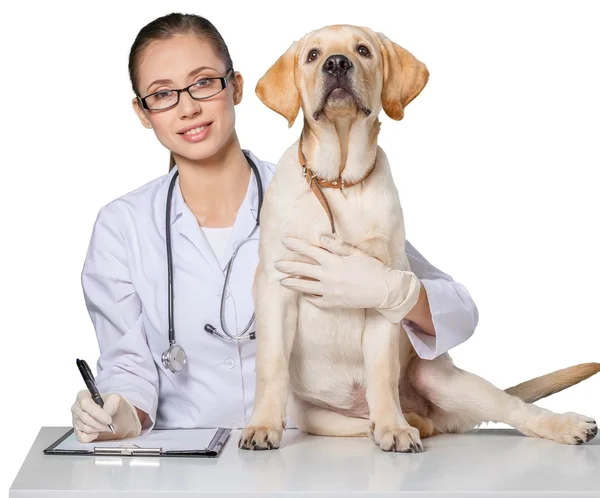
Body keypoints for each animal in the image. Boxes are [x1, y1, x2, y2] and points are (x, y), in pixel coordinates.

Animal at [239, 24, 600, 452]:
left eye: (363, 50)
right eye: (312, 55)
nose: (337, 63)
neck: (339, 182)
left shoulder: (380, 288)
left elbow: (381, 370)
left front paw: (393, 428)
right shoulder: (276, 286)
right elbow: (271, 363)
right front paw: (263, 425)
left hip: (440, 377)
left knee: (514, 408)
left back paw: (563, 424)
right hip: (318, 417)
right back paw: (401, 422)